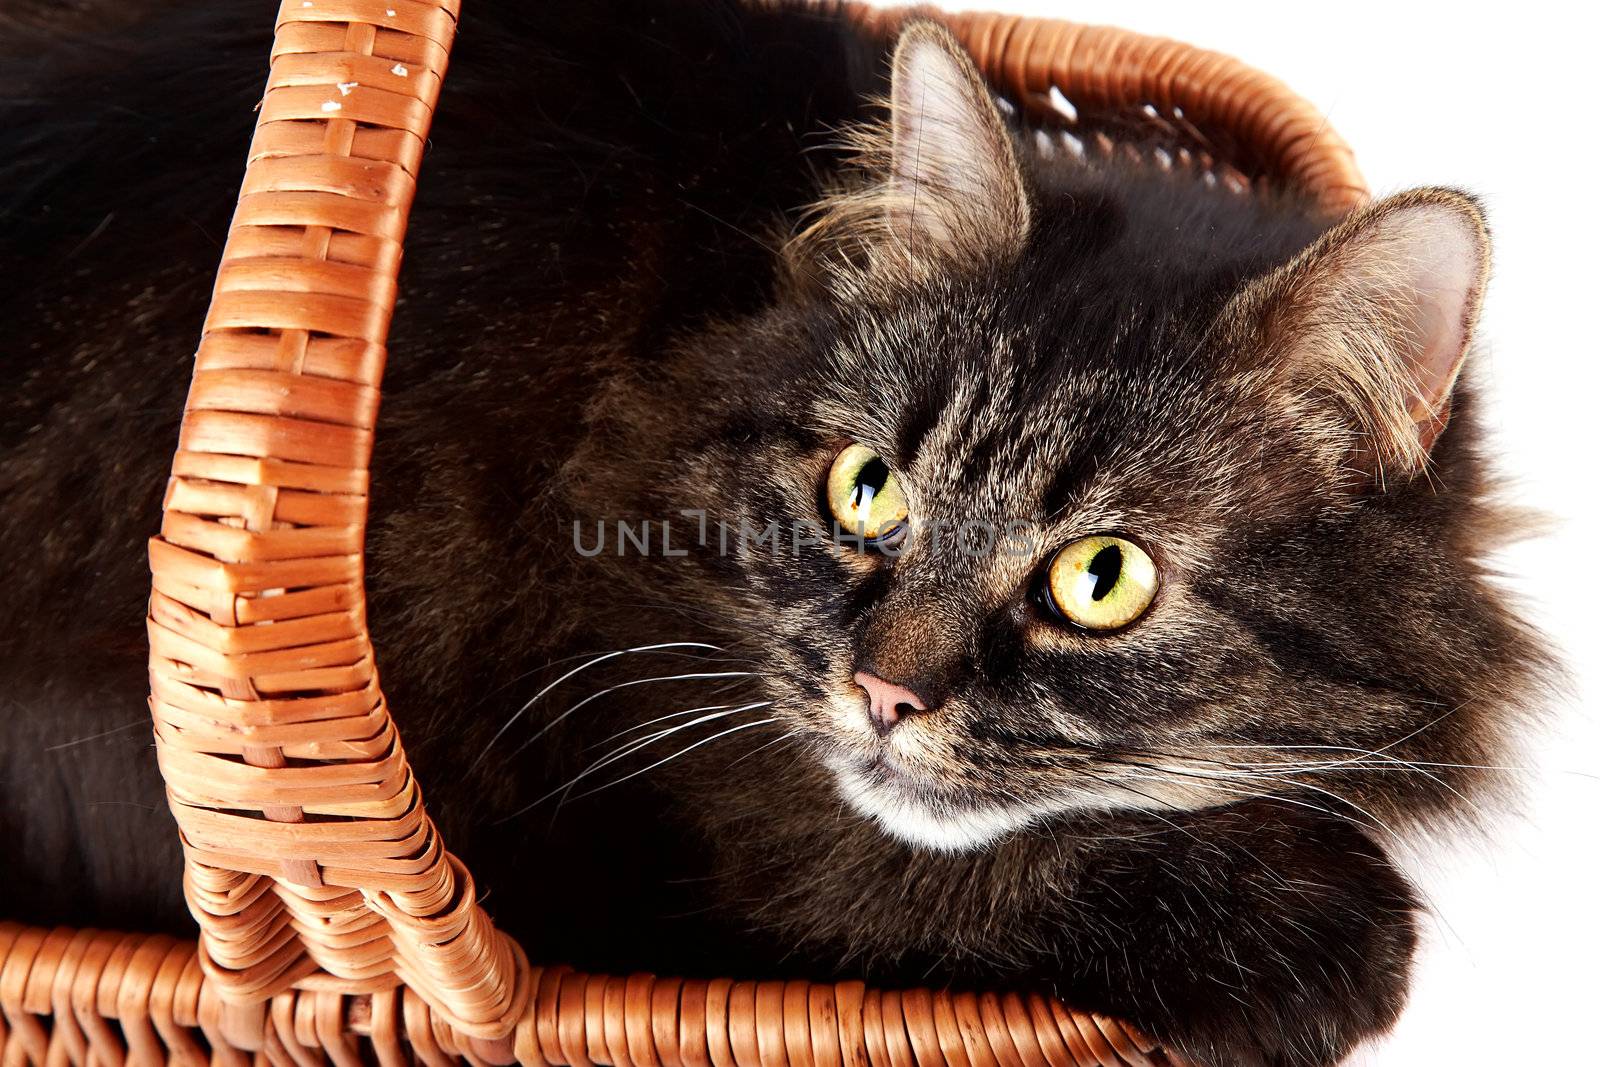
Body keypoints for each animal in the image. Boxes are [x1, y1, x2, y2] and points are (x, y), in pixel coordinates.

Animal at [0, 2, 1548, 1067]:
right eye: (869, 490)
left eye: (1102, 577)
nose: (884, 691)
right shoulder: (608, 765)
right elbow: (867, 856)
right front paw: (1321, 936)